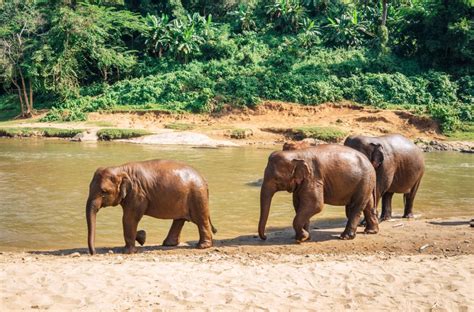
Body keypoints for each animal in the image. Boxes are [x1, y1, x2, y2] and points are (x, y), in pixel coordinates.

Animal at [85, 160, 217, 255]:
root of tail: (204, 179)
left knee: (200, 219)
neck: (120, 168)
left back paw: (202, 246)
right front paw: (142, 237)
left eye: (104, 191)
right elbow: (129, 219)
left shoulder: (138, 194)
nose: (93, 253)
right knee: (179, 220)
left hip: (197, 195)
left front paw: (128, 251)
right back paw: (168, 244)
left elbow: (129, 218)